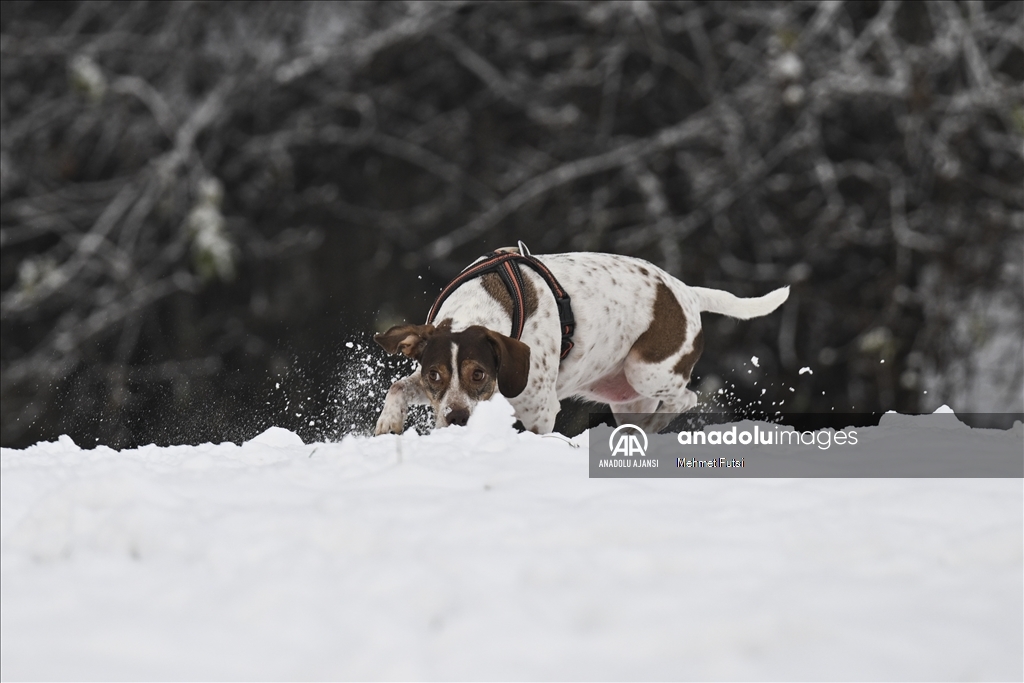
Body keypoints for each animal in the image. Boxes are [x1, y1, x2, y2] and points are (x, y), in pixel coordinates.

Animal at [372, 248, 786, 436]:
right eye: (435, 375)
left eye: (479, 374)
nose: (457, 418)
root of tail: (688, 292)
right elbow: (398, 386)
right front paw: (388, 424)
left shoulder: (539, 408)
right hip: (628, 398)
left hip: (646, 371)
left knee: (686, 397)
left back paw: (651, 426)